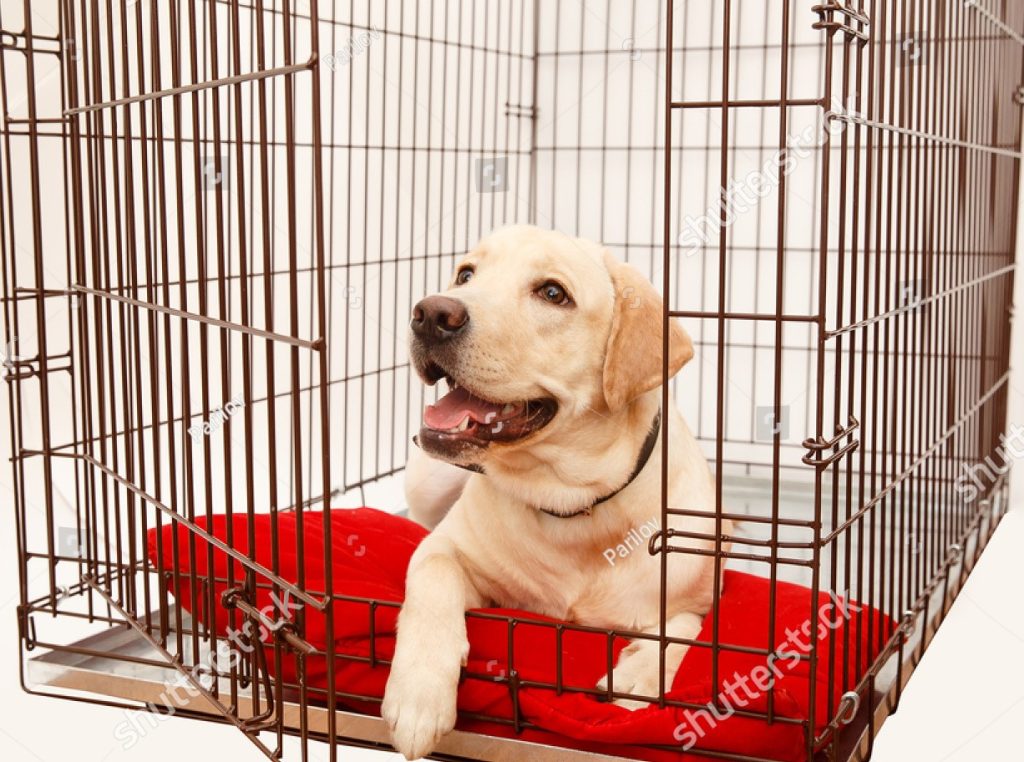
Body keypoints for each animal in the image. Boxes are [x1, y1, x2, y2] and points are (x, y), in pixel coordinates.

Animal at [380, 224, 724, 757]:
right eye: (465, 274)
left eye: (553, 293)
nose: (431, 313)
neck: (571, 502)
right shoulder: (449, 550)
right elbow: (432, 573)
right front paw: (418, 693)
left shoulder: (705, 591)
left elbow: (687, 629)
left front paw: (641, 674)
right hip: (426, 476)